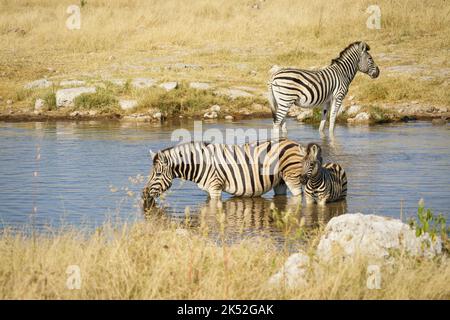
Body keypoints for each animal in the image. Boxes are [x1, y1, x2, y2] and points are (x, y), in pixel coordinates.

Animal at [142, 138, 308, 210]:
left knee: (298, 197)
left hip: (292, 177)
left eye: (157, 174)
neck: (200, 164)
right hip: (280, 182)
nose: (144, 196)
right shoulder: (208, 189)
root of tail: (295, 143)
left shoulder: (215, 186)